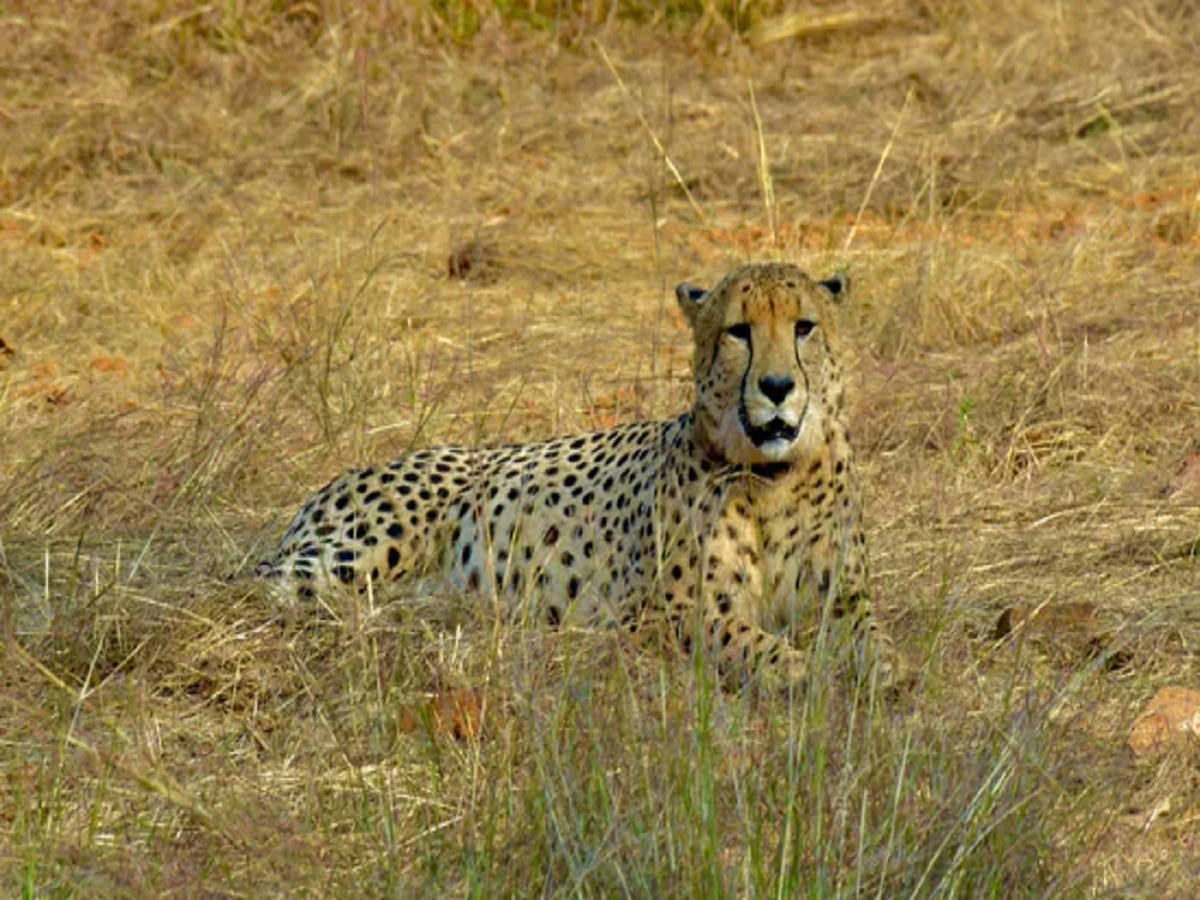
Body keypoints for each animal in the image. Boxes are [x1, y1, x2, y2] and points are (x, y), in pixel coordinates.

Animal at [255, 264, 892, 696]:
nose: (778, 387)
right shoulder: (656, 614)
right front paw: (796, 668)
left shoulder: (843, 595)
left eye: (804, 327)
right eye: (739, 332)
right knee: (263, 586)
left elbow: (874, 636)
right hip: (356, 554)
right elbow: (738, 636)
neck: (772, 478)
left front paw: (880, 670)